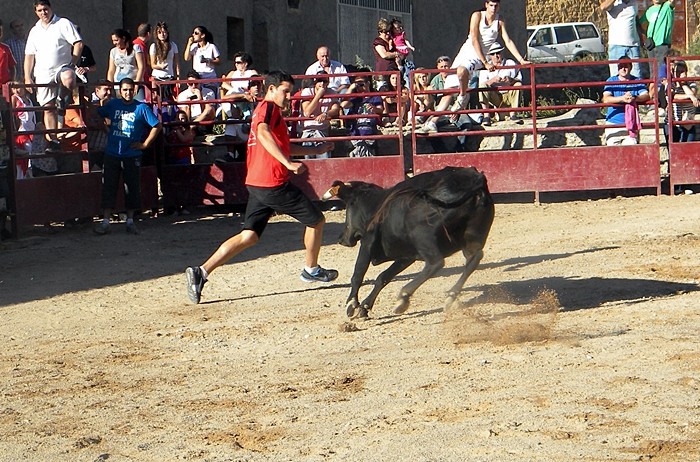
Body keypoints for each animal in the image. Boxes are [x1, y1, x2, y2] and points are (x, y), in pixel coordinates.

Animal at [326, 165, 494, 318]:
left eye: (348, 206)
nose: (341, 238)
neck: (378, 205)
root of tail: (476, 180)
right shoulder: (407, 256)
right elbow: (384, 276)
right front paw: (365, 306)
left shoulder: (367, 243)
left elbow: (358, 273)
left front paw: (351, 304)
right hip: (473, 238)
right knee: (474, 258)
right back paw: (450, 296)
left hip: (423, 237)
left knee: (436, 263)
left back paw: (404, 296)